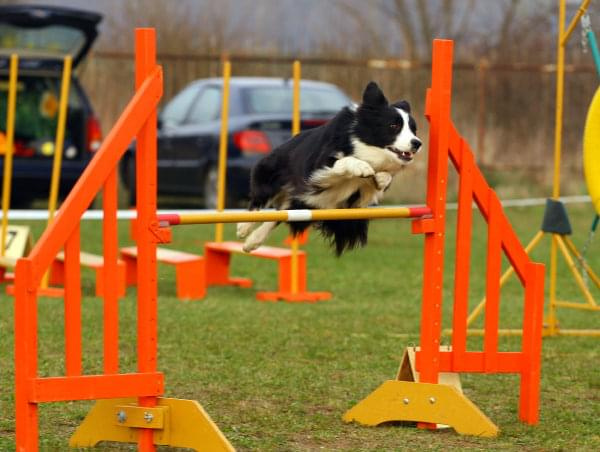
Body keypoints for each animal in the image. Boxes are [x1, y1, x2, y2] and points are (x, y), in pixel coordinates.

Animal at [236, 81, 422, 256]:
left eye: (413, 129)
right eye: (393, 126)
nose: (417, 143)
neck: (364, 144)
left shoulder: (355, 202)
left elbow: (383, 179)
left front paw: (381, 179)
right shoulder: (317, 169)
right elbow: (345, 161)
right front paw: (362, 167)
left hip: (308, 203)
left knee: (280, 214)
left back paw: (252, 242)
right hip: (272, 175)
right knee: (259, 201)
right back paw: (244, 227)